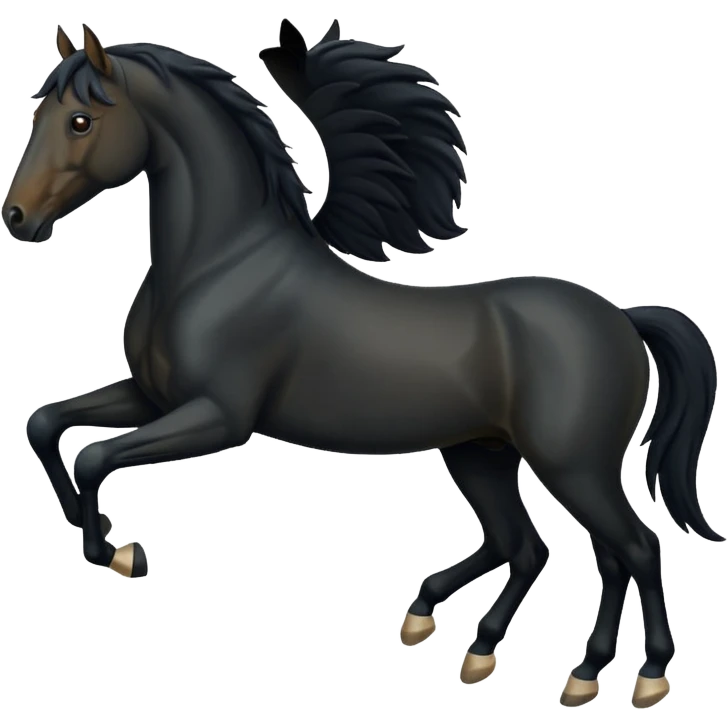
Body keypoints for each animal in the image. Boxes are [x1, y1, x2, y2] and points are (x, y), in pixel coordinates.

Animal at [6, 20, 721, 710]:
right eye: (38, 112)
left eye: (80, 121)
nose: (18, 218)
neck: (220, 265)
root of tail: (623, 317)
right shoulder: (153, 399)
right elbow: (48, 425)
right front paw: (107, 537)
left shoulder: (218, 418)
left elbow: (95, 456)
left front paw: (119, 552)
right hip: (482, 453)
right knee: (532, 546)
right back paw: (473, 643)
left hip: (574, 464)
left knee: (632, 548)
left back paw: (631, 677)